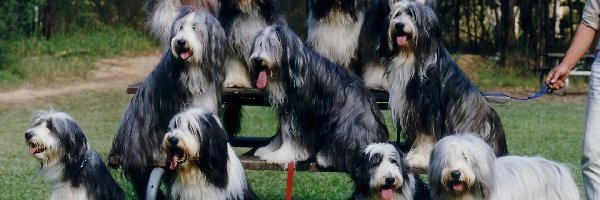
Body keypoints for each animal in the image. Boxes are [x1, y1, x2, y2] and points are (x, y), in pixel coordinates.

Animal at [382, 0, 504, 171]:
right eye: (397, 14)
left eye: (412, 15)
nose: (399, 25)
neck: (411, 56)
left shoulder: (429, 108)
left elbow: (426, 135)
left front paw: (419, 158)